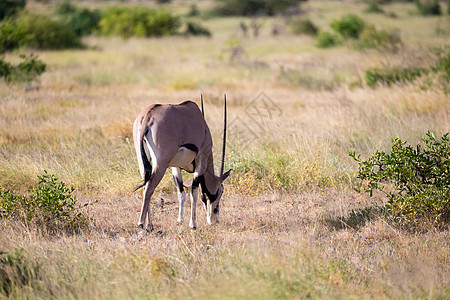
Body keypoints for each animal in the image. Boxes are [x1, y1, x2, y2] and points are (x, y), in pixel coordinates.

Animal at [133, 96, 230, 232]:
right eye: (220, 192)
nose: (214, 220)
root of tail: (148, 117)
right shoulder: (201, 159)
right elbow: (194, 193)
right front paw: (193, 224)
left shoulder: (175, 166)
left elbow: (181, 193)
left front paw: (180, 220)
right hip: (161, 163)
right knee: (149, 189)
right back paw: (142, 223)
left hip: (143, 161)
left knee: (145, 186)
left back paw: (150, 226)